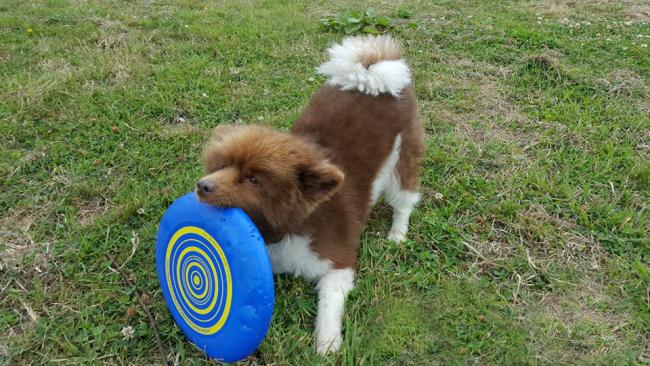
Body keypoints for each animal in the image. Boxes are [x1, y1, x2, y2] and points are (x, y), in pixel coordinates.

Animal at [195, 35, 422, 354]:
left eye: (253, 180)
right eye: (222, 165)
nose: (202, 186)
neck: (286, 228)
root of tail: (370, 75)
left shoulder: (338, 260)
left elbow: (329, 303)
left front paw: (327, 342)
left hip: (403, 159)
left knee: (404, 200)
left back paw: (397, 234)